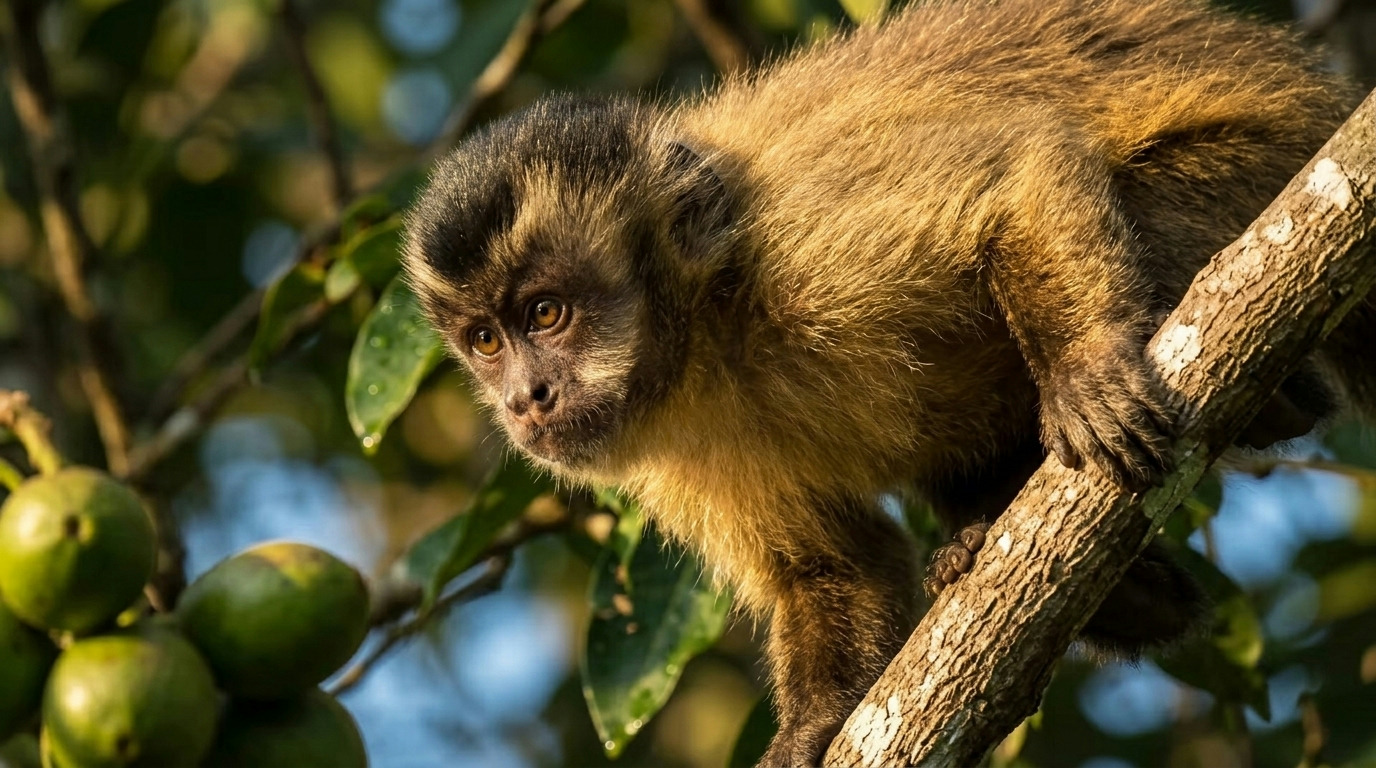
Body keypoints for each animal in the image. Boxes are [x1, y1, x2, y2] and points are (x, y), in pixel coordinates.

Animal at [401, 0, 1370, 764]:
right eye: (484, 340)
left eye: (546, 315)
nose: (523, 398)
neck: (711, 330)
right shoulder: (672, 451)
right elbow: (832, 565)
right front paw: (811, 727)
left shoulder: (801, 233)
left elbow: (1016, 171)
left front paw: (1088, 362)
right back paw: (1117, 590)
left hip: (1256, 177)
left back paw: (1274, 403)